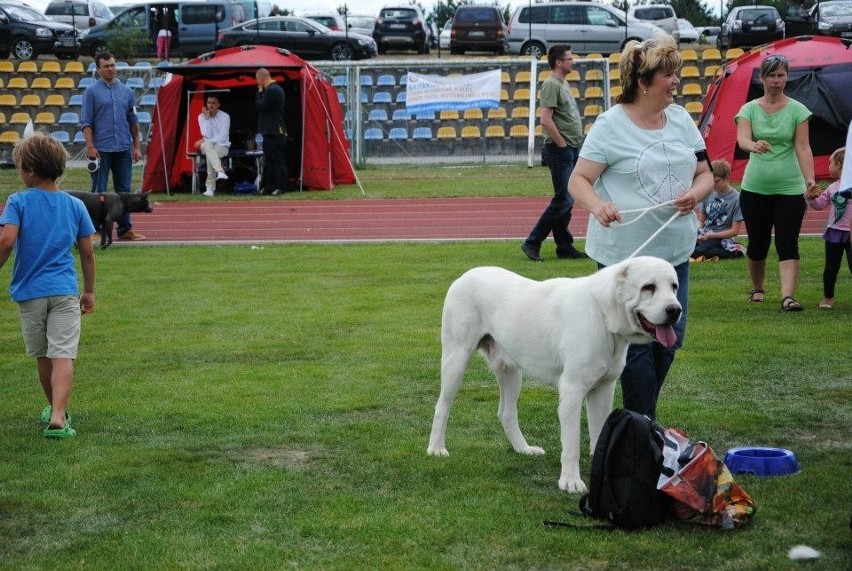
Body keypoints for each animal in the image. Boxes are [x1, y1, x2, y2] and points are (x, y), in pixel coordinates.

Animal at [430, 256, 684, 494]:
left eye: (674, 287)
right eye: (648, 287)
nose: (675, 310)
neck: (602, 313)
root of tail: (466, 275)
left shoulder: (603, 389)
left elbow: (599, 432)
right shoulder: (573, 391)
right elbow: (571, 443)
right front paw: (570, 481)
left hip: (511, 372)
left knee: (506, 413)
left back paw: (524, 449)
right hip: (456, 360)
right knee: (442, 406)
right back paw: (436, 449)